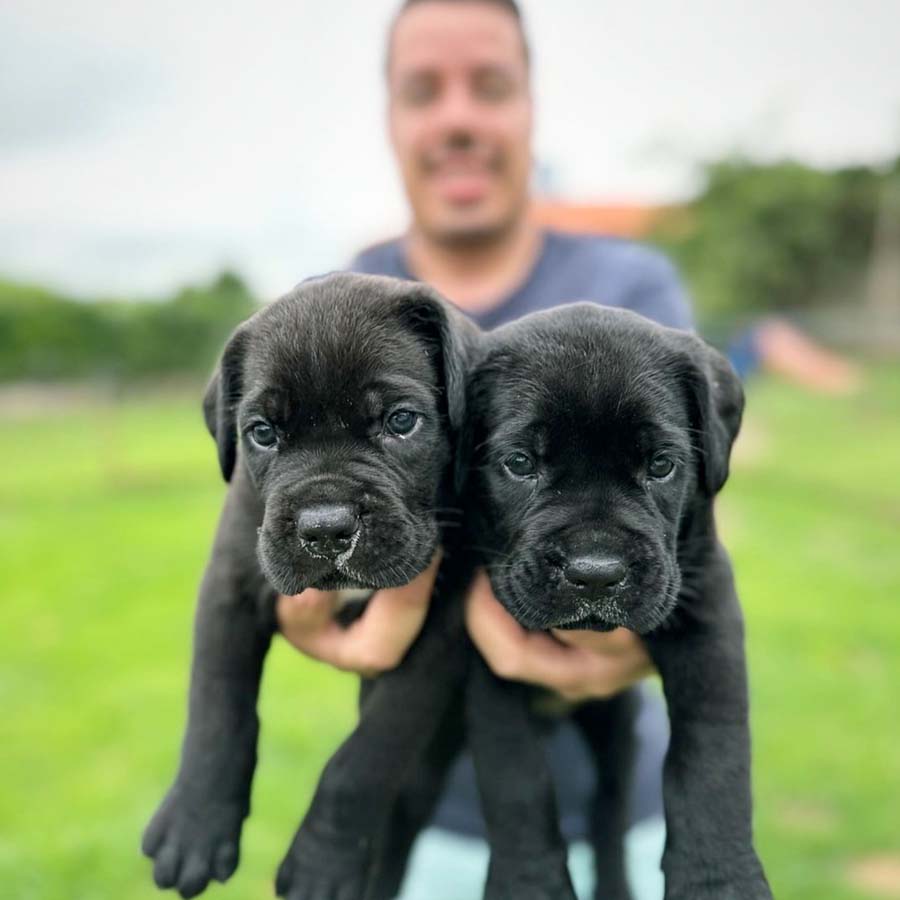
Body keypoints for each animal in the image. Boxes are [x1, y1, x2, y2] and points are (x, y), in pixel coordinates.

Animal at [140, 274, 478, 900]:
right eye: (262, 434)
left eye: (401, 422)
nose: (325, 528)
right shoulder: (229, 588)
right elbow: (217, 709)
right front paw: (195, 826)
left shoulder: (439, 632)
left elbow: (367, 755)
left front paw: (324, 864)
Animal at [464, 304, 772, 900]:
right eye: (520, 463)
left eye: (661, 465)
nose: (595, 575)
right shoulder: (484, 656)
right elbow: (515, 774)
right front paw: (528, 883)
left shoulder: (709, 620)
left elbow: (712, 755)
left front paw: (718, 880)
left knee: (608, 808)